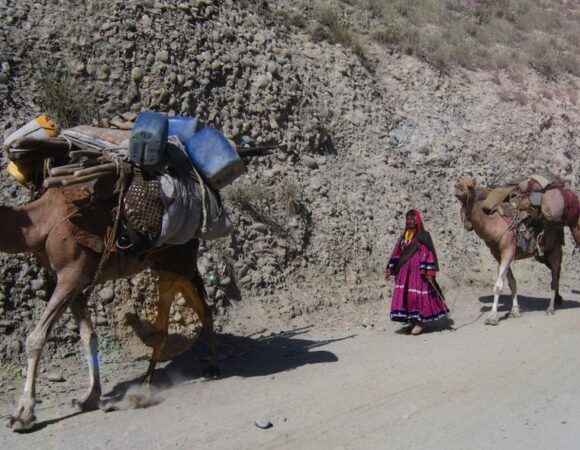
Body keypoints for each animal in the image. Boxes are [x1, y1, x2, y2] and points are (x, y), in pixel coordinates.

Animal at [0, 186, 220, 432]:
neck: (41, 221)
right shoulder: (75, 281)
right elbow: (89, 335)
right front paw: (89, 397)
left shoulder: (71, 274)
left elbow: (35, 338)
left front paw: (22, 414)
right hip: (172, 265)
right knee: (198, 310)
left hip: (176, 264)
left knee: (177, 322)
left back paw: (155, 383)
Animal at [456, 178, 564, 326]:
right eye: (457, 183)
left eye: (471, 186)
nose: (458, 189)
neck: (494, 226)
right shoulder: (499, 255)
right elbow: (512, 283)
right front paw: (515, 311)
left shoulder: (507, 251)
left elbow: (498, 285)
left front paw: (492, 317)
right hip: (542, 255)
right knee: (556, 274)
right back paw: (558, 299)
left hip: (554, 250)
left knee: (555, 276)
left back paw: (550, 309)